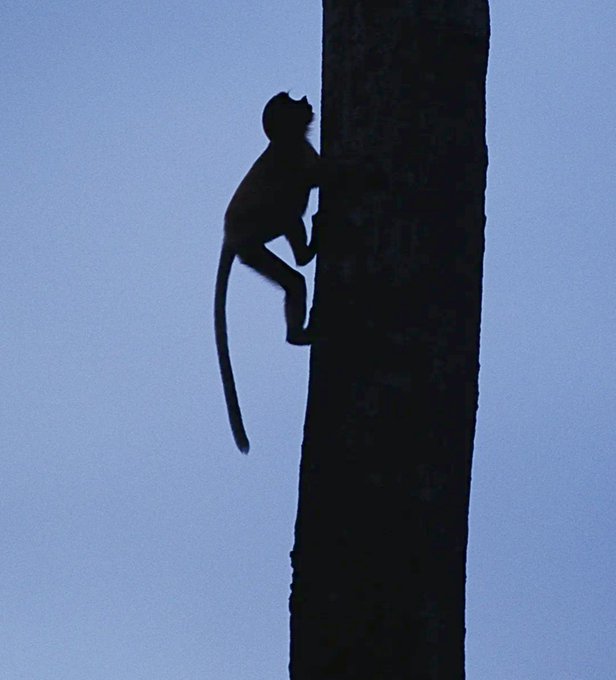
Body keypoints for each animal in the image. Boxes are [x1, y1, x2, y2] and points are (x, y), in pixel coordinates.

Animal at [215, 92, 323, 454]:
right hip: (251, 245)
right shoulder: (301, 154)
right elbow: (322, 176)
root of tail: (229, 234)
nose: (306, 100)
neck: (282, 142)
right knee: (295, 276)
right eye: (292, 101)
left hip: (251, 251)